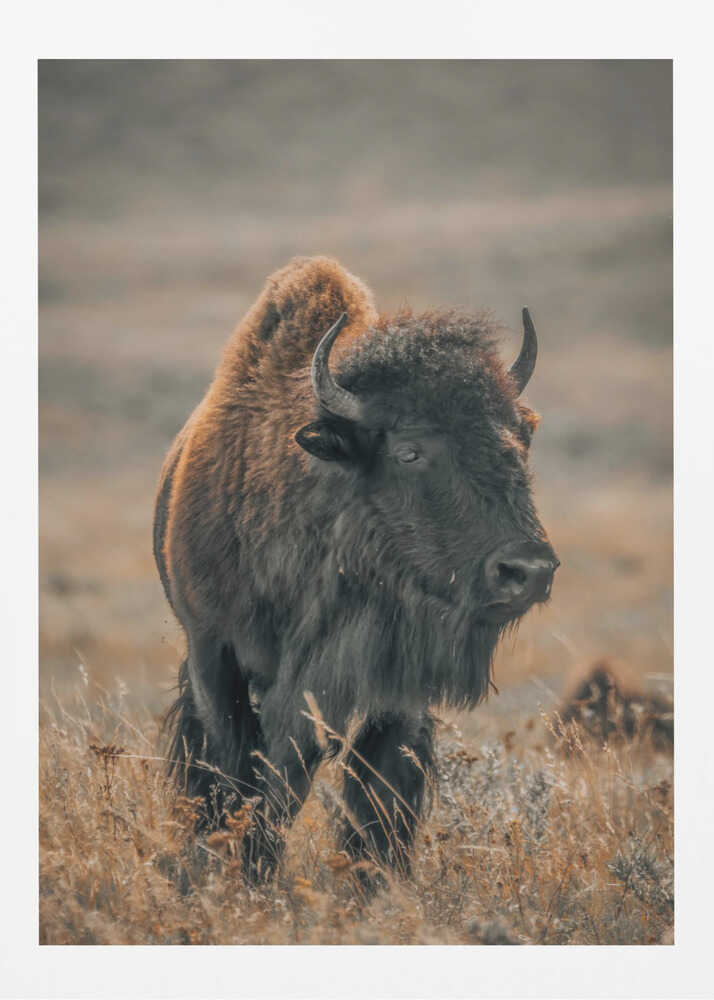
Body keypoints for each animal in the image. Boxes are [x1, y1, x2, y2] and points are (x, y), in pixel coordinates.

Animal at [154, 256, 558, 883]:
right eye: (409, 451)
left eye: (519, 439)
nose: (528, 571)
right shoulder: (213, 654)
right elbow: (240, 774)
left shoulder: (394, 688)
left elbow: (378, 796)